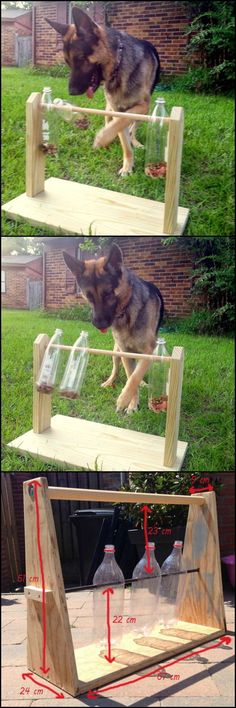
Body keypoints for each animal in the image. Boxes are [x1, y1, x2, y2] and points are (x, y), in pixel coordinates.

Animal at [46, 7, 160, 176]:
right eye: (68, 62)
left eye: (81, 58)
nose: (71, 92)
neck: (119, 67)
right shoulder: (117, 110)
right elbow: (121, 131)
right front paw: (127, 165)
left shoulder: (142, 106)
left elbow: (124, 122)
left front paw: (102, 138)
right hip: (109, 108)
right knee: (111, 121)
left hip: (145, 111)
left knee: (133, 126)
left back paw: (134, 141)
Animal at [62, 243, 163, 412]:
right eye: (88, 296)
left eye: (108, 293)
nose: (99, 324)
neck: (127, 312)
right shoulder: (125, 353)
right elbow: (130, 376)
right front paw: (132, 403)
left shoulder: (149, 351)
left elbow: (135, 376)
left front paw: (124, 399)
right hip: (116, 352)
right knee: (116, 370)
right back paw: (110, 382)